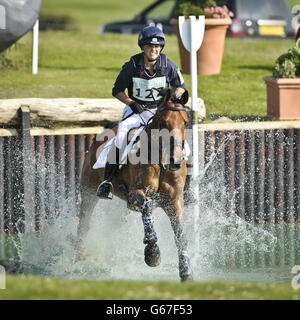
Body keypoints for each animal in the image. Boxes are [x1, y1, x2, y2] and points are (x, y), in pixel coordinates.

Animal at [74, 87, 192, 280]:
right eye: (163, 121)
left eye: (186, 122)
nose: (175, 160)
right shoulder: (136, 192)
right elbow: (147, 208)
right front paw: (152, 254)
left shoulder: (174, 200)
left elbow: (180, 234)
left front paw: (186, 271)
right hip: (89, 191)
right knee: (84, 224)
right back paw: (78, 258)